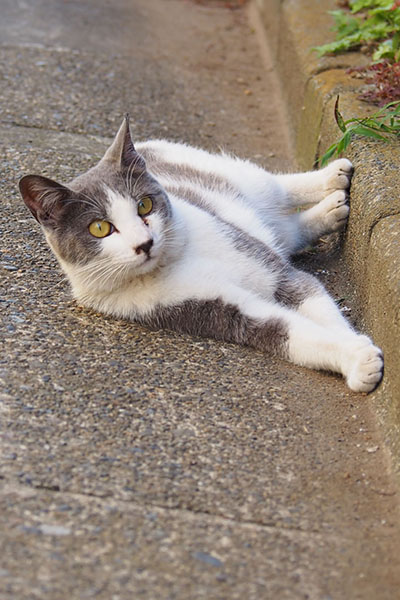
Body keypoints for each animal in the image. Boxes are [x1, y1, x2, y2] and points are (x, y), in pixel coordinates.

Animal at [19, 114, 384, 392]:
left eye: (144, 205)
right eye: (99, 228)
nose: (144, 243)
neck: (176, 260)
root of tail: (145, 147)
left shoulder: (276, 272)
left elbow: (315, 300)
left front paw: (356, 345)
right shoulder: (214, 307)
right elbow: (287, 331)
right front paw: (356, 359)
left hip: (230, 179)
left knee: (275, 188)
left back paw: (332, 178)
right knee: (287, 231)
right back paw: (329, 212)